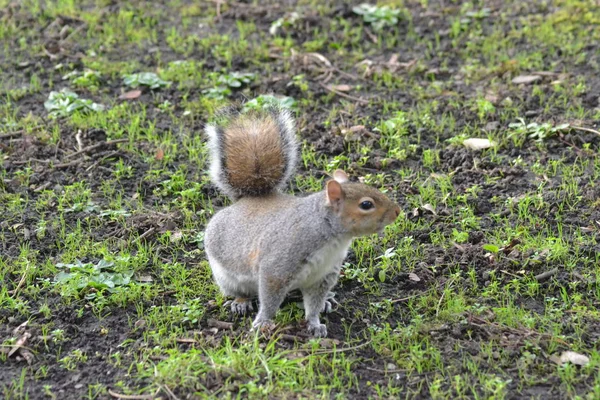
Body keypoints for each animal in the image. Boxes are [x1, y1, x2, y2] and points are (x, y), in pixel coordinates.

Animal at [204, 106, 400, 338]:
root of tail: (246, 201)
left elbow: (314, 303)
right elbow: (269, 300)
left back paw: (328, 299)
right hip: (225, 274)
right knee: (238, 290)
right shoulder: (277, 267)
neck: (330, 235)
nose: (397, 211)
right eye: (366, 204)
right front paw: (263, 322)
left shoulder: (323, 275)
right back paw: (241, 301)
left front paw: (315, 323)